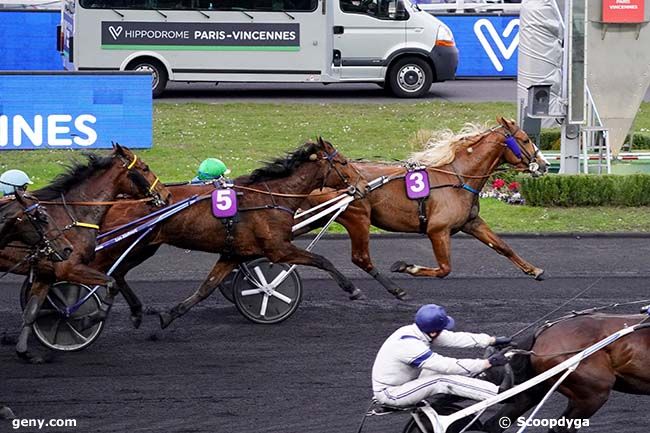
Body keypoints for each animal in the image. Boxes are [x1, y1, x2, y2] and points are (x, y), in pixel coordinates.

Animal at [0, 144, 170, 362]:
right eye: (145, 168)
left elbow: (32, 311)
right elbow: (111, 283)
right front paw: (88, 320)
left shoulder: (47, 272)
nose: (166, 194)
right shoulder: (69, 268)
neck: (74, 216)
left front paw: (24, 352)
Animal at [294, 115, 548, 296]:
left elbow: (503, 247)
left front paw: (534, 270)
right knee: (360, 257)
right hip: (357, 217)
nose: (544, 165)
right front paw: (406, 267)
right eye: (526, 139)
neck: (458, 177)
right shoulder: (438, 230)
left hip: (315, 217)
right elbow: (445, 269)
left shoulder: (471, 222)